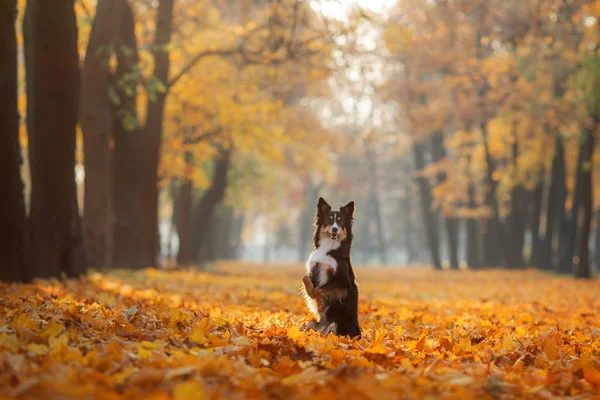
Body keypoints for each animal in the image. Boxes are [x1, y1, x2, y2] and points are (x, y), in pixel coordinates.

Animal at [300, 197, 360, 338]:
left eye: (340, 221)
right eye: (329, 219)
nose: (335, 229)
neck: (329, 248)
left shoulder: (344, 281)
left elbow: (319, 289)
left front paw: (321, 304)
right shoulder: (313, 269)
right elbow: (306, 279)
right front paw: (311, 294)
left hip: (337, 324)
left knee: (332, 332)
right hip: (310, 323)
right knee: (306, 325)